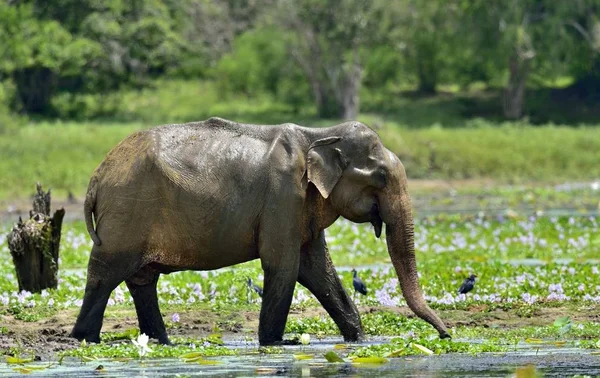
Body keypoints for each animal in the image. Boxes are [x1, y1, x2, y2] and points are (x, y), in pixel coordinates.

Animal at [70, 116, 450, 344]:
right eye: (381, 177)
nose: (446, 335)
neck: (320, 134)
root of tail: (97, 176)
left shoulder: (301, 207)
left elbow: (318, 270)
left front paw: (359, 339)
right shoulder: (283, 197)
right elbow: (284, 266)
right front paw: (279, 344)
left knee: (141, 280)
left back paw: (159, 342)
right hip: (126, 213)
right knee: (105, 273)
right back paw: (83, 339)